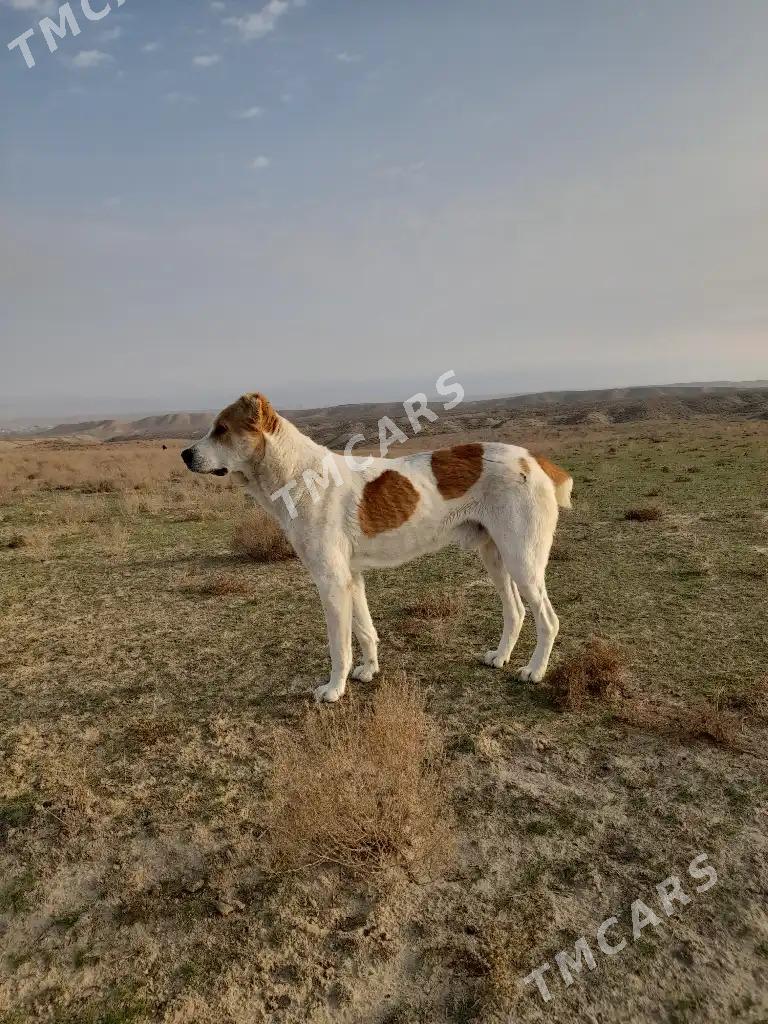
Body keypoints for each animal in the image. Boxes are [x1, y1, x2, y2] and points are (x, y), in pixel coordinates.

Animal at [183, 391, 573, 704]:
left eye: (221, 429)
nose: (185, 454)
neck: (300, 475)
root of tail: (534, 459)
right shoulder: (351, 579)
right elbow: (366, 631)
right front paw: (369, 671)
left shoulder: (332, 584)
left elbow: (339, 646)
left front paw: (334, 690)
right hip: (496, 557)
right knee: (516, 612)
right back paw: (500, 657)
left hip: (523, 562)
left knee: (548, 620)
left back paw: (534, 671)